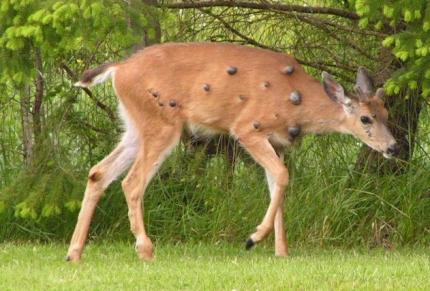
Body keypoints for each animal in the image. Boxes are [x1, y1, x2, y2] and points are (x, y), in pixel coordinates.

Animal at [65, 42, 398, 264]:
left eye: (386, 113)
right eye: (365, 118)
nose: (393, 147)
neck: (296, 101)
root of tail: (119, 69)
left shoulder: (277, 142)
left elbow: (277, 184)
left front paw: (281, 252)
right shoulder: (248, 127)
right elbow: (282, 176)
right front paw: (253, 239)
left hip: (135, 126)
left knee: (98, 172)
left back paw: (74, 253)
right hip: (162, 123)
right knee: (131, 181)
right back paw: (146, 251)